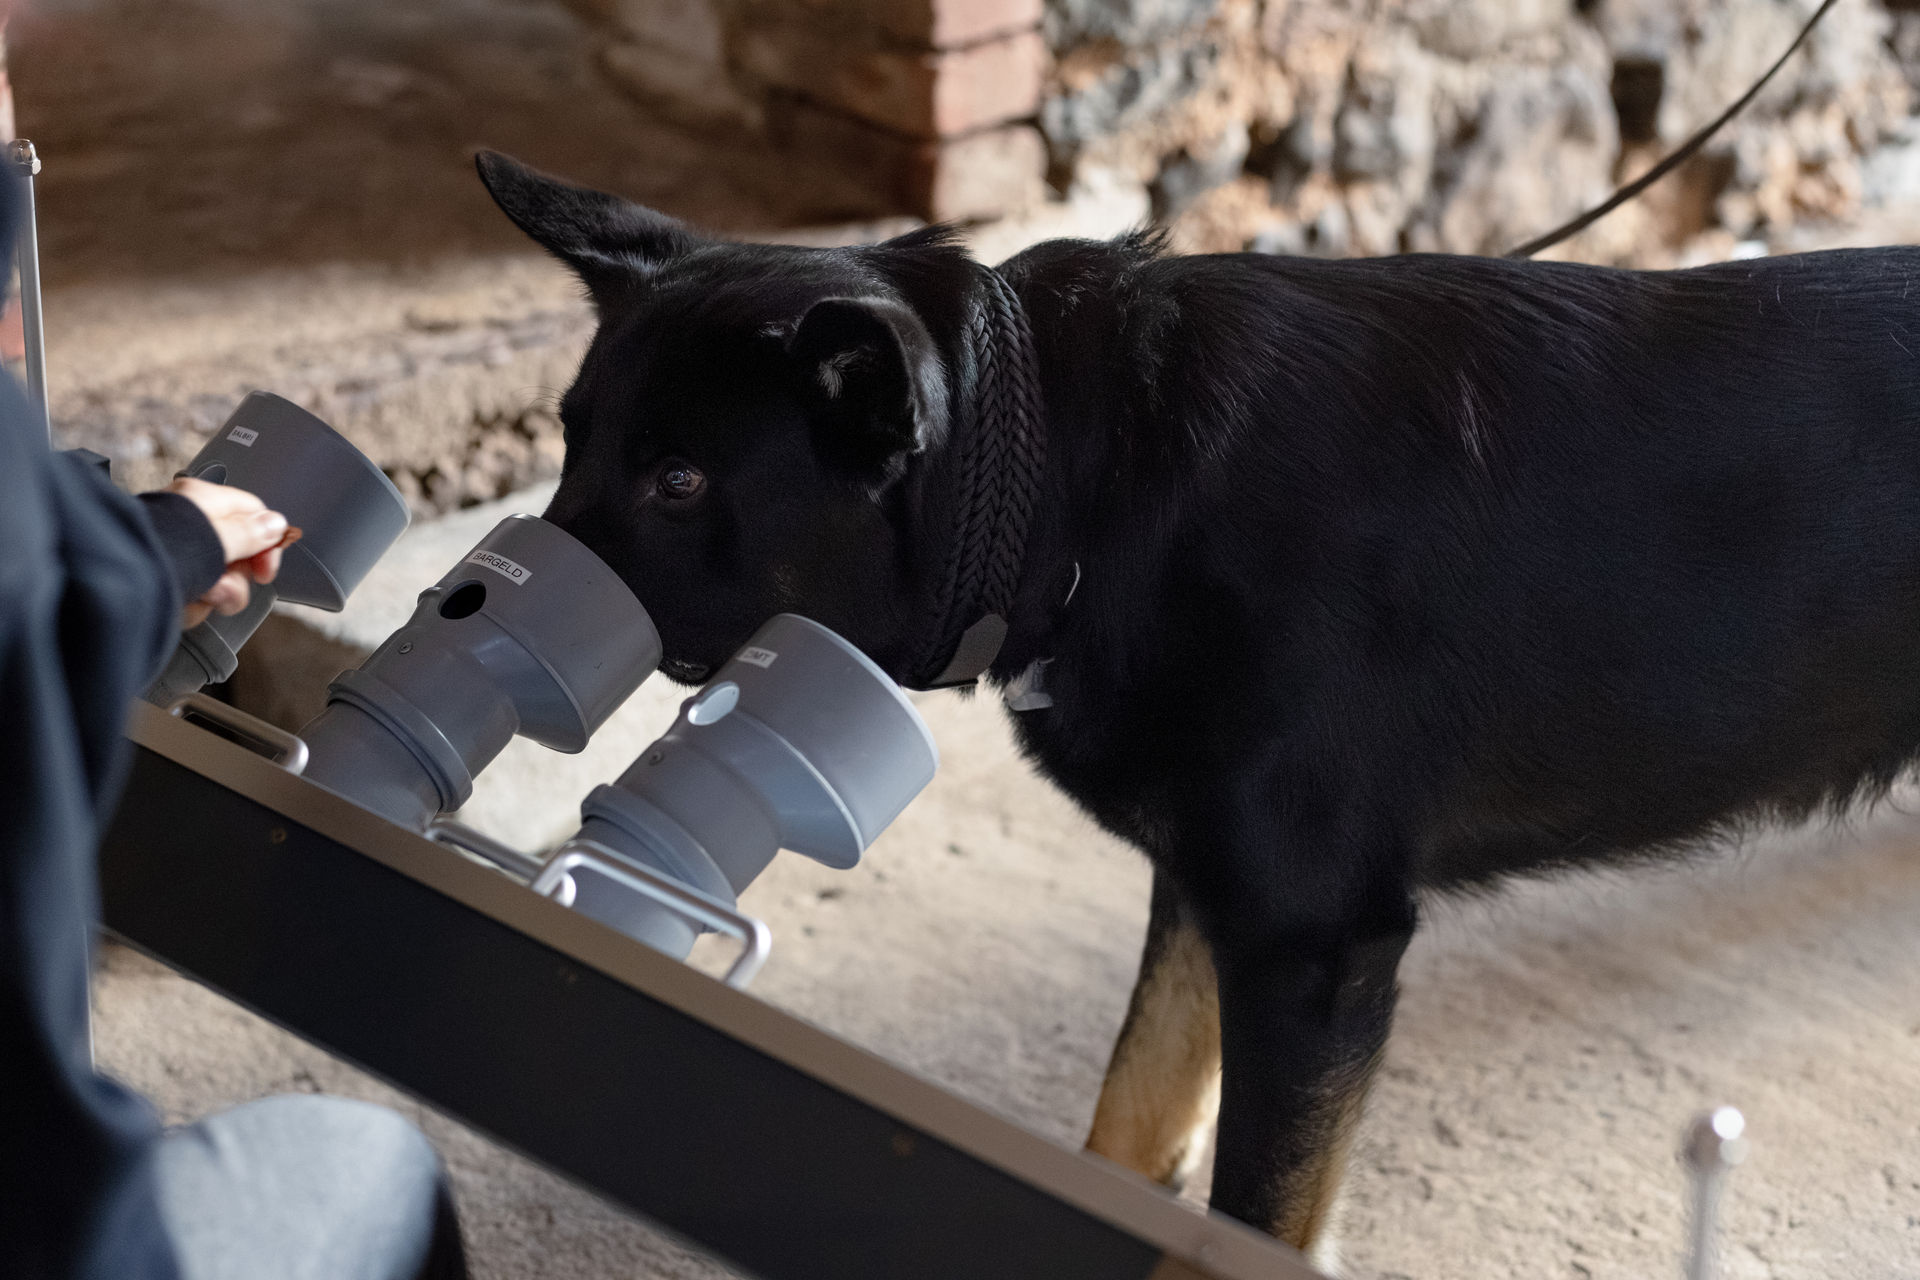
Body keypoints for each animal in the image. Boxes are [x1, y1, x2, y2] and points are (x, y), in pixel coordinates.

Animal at [476, 149, 1920, 1267]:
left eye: (677, 481)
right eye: (572, 437)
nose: (471, 599)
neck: (1081, 469)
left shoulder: (1310, 952)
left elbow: (1247, 1217)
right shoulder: (1205, 898)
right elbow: (1126, 1127)